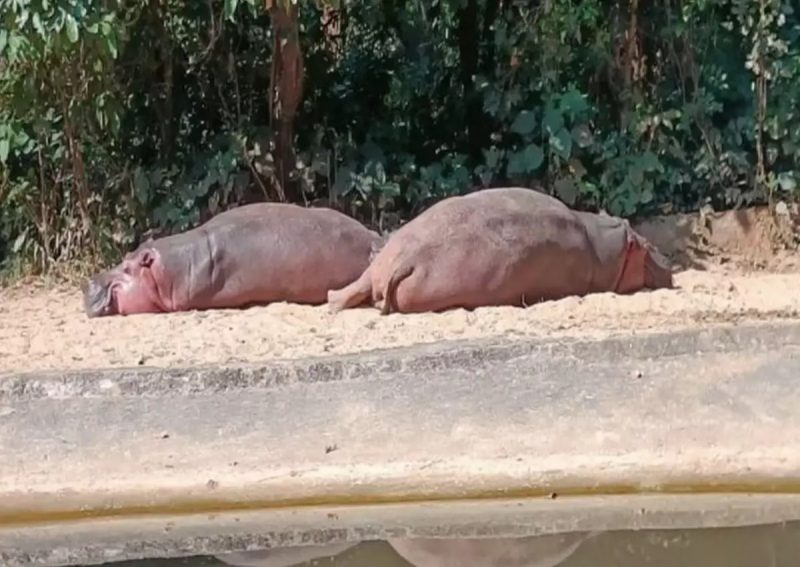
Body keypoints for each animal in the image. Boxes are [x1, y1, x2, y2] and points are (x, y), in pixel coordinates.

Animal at [328, 189, 672, 318]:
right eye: (646, 247)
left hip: (387, 260)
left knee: (353, 288)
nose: (669, 259)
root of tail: (406, 259)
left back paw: (334, 301)